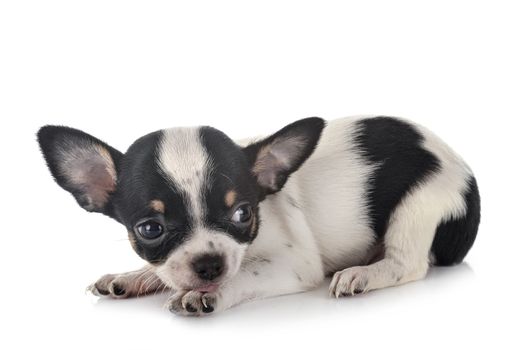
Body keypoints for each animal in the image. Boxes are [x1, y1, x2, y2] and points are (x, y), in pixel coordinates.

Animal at [38, 116, 482, 316]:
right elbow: (165, 269)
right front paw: (136, 275)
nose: (209, 265)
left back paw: (364, 273)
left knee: (408, 264)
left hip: (419, 204)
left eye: (242, 213)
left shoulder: (294, 265)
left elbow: (245, 275)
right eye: (150, 229)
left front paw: (206, 294)